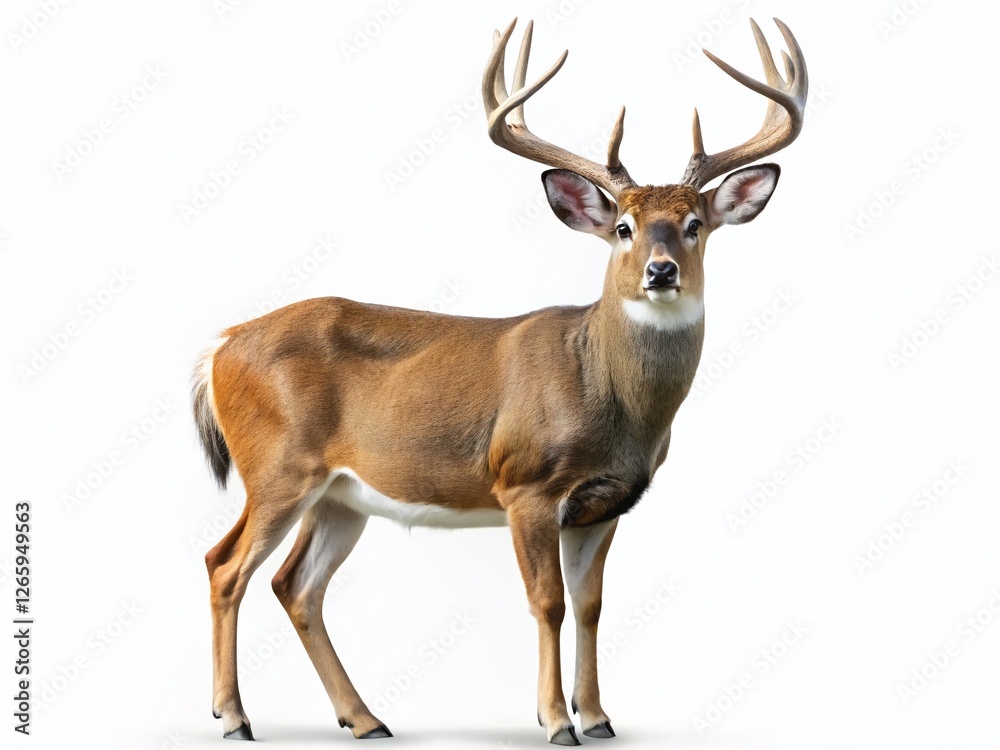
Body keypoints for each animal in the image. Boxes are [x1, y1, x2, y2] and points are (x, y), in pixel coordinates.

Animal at [193, 17, 807, 746]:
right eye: (622, 227)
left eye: (695, 225)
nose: (661, 271)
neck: (607, 395)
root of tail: (218, 348)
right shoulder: (527, 485)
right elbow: (548, 603)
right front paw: (556, 720)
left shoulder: (607, 503)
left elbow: (592, 605)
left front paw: (598, 717)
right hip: (277, 467)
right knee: (225, 566)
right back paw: (234, 716)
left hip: (340, 494)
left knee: (295, 585)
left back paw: (364, 718)